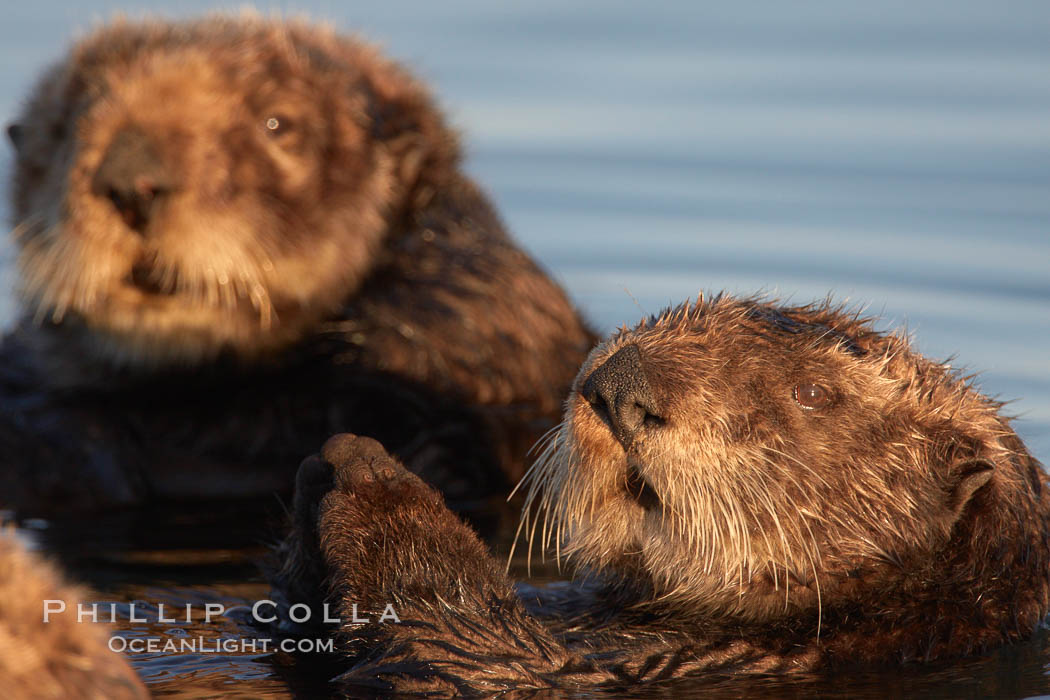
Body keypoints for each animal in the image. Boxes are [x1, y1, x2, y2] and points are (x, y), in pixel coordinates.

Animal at [273, 293, 1050, 696]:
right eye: (649, 325)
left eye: (813, 392)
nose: (617, 385)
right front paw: (327, 468)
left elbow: (473, 665)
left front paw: (374, 478)